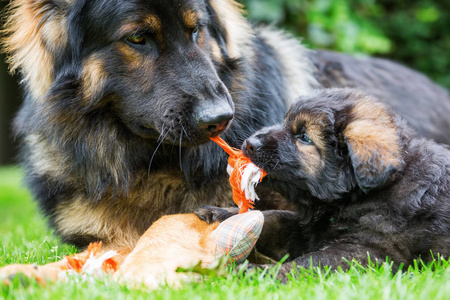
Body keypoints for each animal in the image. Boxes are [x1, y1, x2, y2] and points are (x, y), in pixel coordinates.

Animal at [199, 88, 450, 276]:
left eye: (304, 137)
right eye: (285, 121)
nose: (250, 143)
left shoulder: (368, 252)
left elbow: (311, 263)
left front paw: (257, 273)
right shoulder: (305, 230)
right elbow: (270, 217)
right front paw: (221, 213)